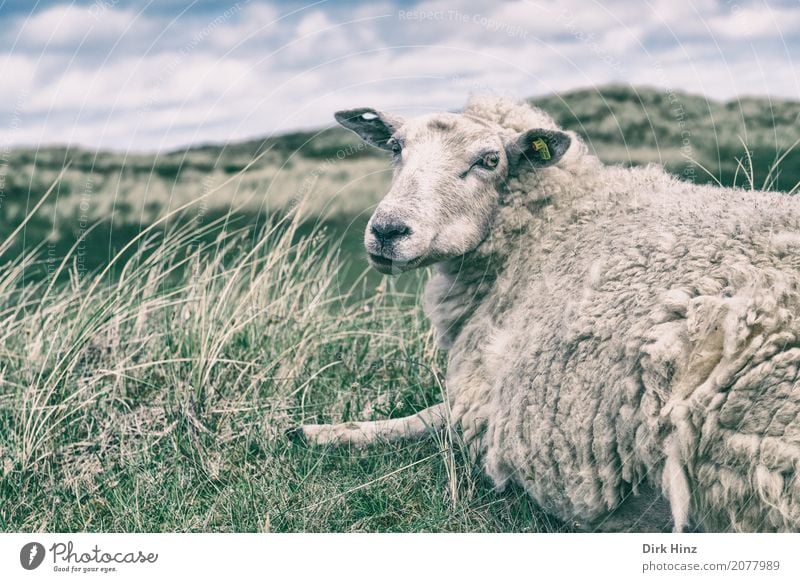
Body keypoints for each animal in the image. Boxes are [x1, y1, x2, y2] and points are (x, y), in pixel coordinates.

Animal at [288, 94, 800, 532]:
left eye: (489, 161)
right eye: (396, 148)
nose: (387, 230)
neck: (553, 222)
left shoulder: (483, 400)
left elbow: (431, 416)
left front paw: (329, 431)